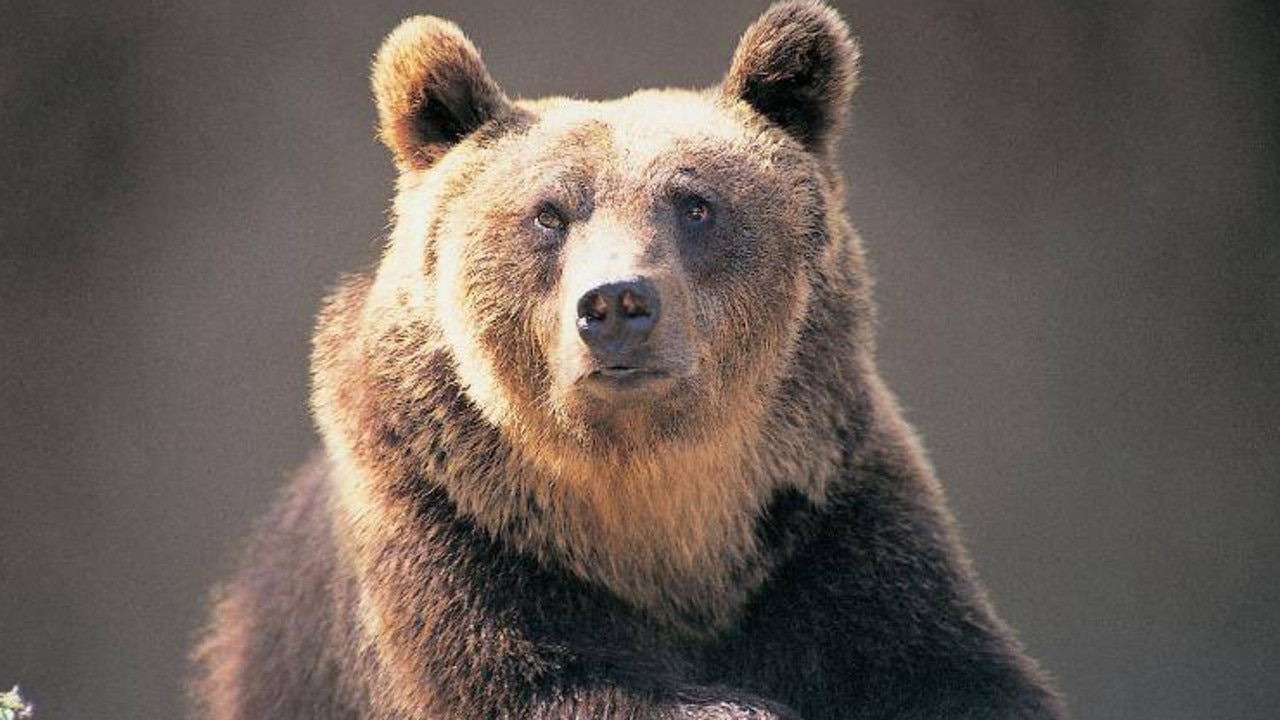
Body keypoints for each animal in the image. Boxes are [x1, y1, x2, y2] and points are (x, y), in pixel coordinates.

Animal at [189, 2, 1070, 712]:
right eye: (548, 213)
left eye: (695, 203)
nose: (616, 303)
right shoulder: (449, 523)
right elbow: (536, 677)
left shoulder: (831, 523)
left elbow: (946, 668)